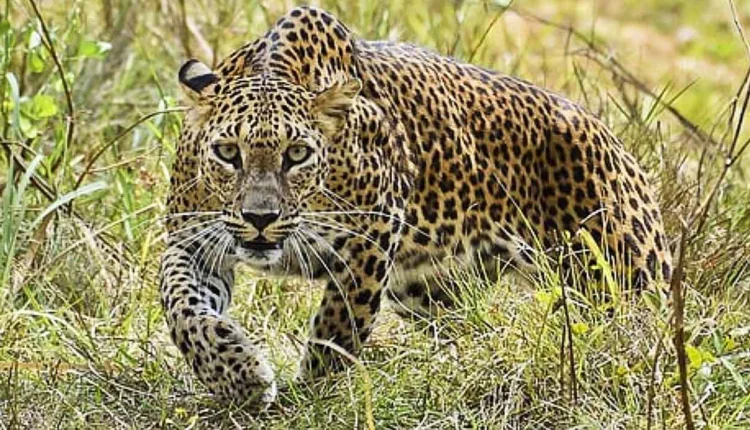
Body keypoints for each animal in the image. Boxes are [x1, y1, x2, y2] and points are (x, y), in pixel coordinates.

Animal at [159, 6, 672, 402]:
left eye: (297, 154)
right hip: (431, 290)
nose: (260, 219)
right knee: (471, 327)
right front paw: (237, 374)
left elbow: (339, 326)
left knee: (649, 334)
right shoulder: (192, 240)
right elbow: (182, 306)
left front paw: (310, 394)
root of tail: (611, 136)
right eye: (228, 152)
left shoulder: (370, 239)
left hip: (623, 276)